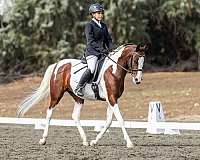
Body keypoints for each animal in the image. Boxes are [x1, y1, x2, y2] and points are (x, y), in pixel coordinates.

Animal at [16, 43, 148, 148]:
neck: (113, 70)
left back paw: (85, 141)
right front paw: (129, 143)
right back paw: (43, 139)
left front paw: (94, 141)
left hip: (78, 97)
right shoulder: (111, 98)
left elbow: (109, 121)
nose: (138, 80)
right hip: (56, 95)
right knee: (49, 113)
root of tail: (58, 64)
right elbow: (120, 120)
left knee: (75, 116)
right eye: (135, 60)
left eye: (143, 61)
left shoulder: (112, 99)